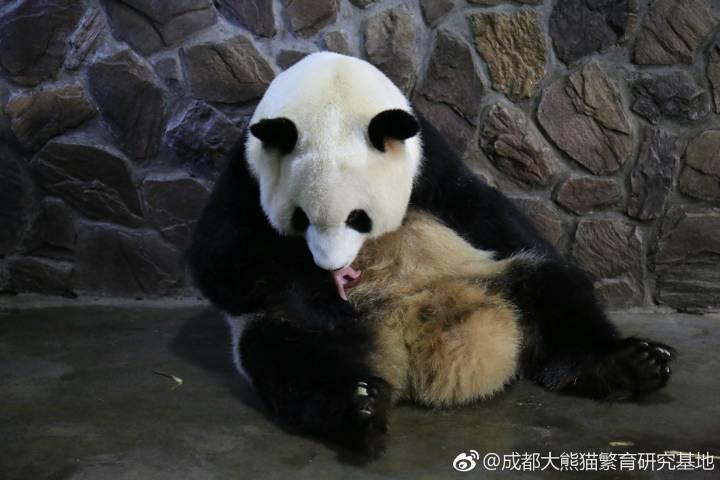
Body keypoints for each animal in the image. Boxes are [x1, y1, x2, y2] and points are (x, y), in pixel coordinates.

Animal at [189, 52, 674, 454]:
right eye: (301, 219)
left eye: (359, 218)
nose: (334, 266)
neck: (330, 89)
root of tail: (408, 349)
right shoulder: (246, 172)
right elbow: (220, 262)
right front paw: (323, 291)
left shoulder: (426, 154)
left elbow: (476, 204)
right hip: (290, 332)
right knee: (291, 357)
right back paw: (359, 407)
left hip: (491, 275)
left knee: (554, 292)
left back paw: (628, 364)